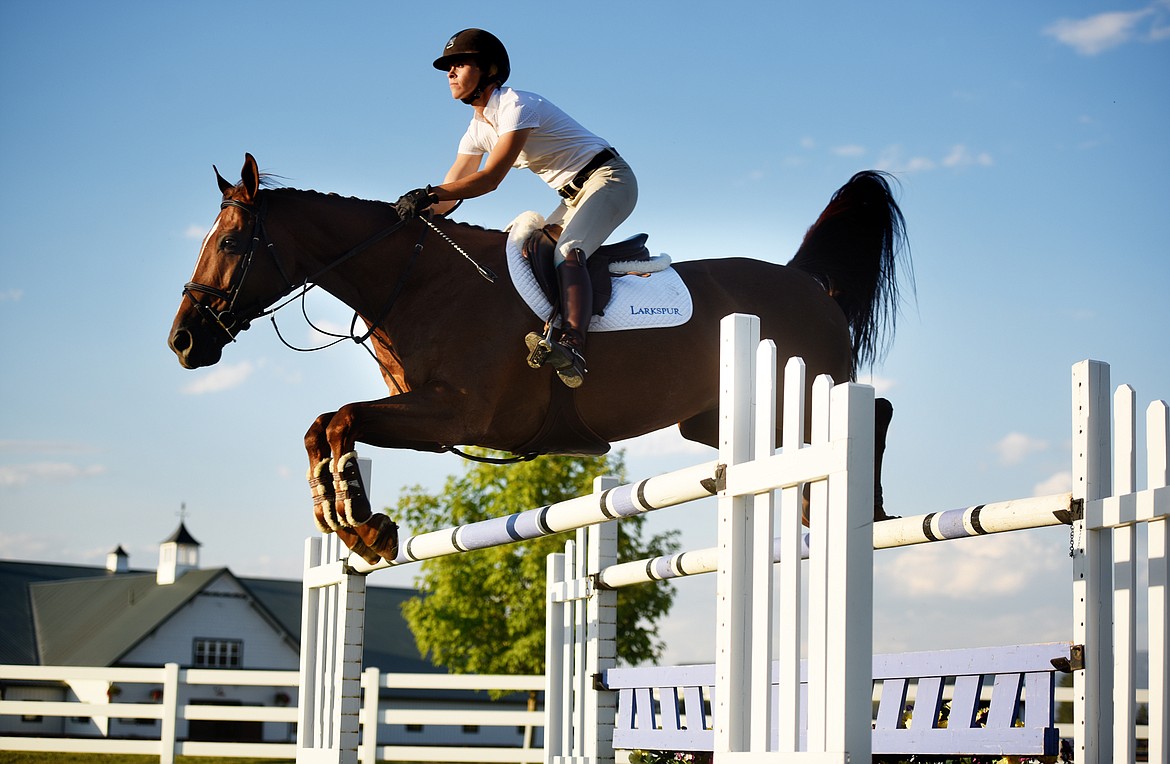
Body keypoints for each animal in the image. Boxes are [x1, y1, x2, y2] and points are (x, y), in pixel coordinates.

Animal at [169, 152, 907, 563]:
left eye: (230, 243)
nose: (183, 341)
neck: (419, 281)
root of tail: (807, 282)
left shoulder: (458, 416)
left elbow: (343, 418)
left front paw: (360, 518)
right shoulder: (429, 416)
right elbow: (321, 425)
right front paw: (347, 522)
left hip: (804, 383)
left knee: (871, 408)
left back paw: (860, 512)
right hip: (714, 417)